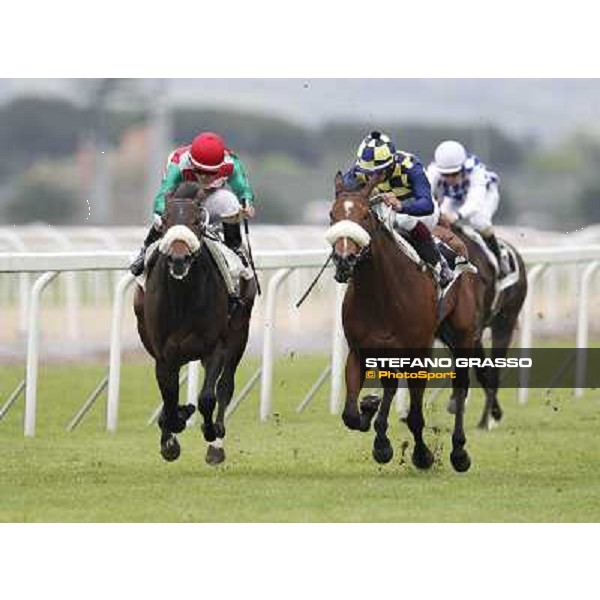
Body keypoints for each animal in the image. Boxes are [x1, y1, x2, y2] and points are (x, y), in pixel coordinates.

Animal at [134, 180, 255, 466]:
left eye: (197, 221)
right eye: (164, 221)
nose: (179, 258)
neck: (183, 298)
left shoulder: (215, 348)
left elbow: (208, 397)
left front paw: (210, 431)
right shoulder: (164, 355)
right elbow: (168, 399)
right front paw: (170, 437)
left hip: (239, 333)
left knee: (225, 386)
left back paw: (217, 443)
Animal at [328, 173, 478, 474]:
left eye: (364, 216)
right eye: (332, 215)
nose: (344, 259)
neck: (381, 293)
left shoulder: (417, 353)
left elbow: (416, 416)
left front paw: (422, 455)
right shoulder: (361, 350)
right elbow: (350, 414)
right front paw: (373, 422)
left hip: (462, 335)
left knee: (460, 385)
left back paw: (459, 451)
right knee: (390, 387)